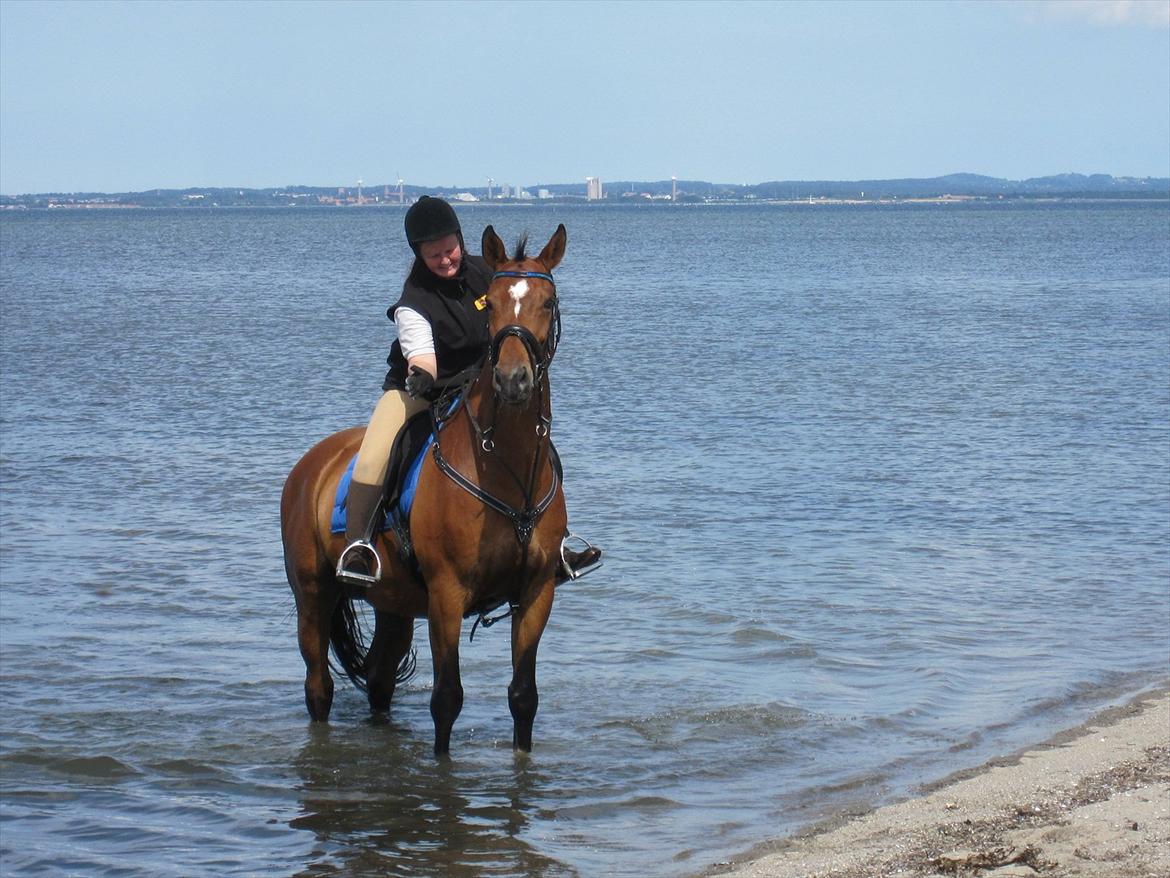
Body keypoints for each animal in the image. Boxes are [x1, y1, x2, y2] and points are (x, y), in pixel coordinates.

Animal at [279, 221, 570, 758]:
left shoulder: (537, 592)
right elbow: (447, 698)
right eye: (492, 305)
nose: (513, 380)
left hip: (394, 603)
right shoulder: (447, 595)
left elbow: (523, 696)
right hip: (313, 595)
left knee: (378, 679)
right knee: (318, 687)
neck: (505, 464)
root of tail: (311, 463)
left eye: (546, 302)